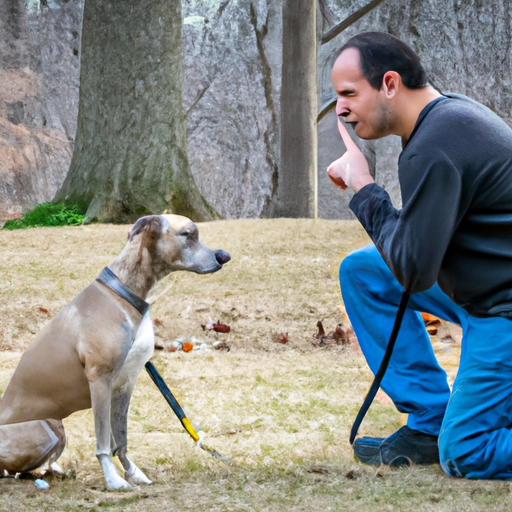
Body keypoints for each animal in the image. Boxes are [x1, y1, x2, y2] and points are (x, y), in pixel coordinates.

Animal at [0, 214, 230, 490]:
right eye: (187, 234)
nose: (224, 256)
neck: (122, 293)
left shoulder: (122, 387)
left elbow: (120, 439)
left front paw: (132, 472)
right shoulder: (100, 381)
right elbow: (103, 441)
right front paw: (113, 479)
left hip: (58, 430)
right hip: (43, 427)